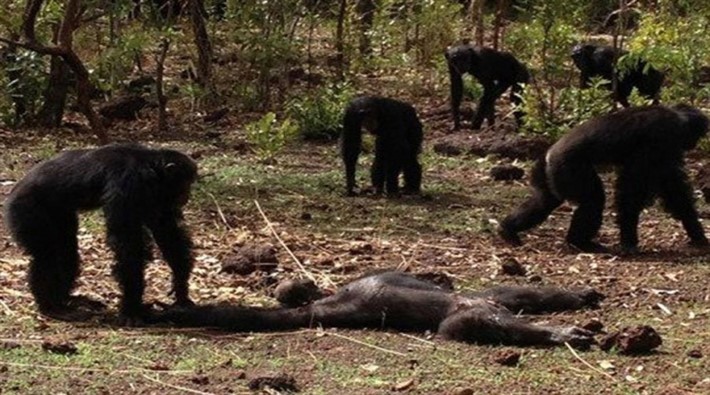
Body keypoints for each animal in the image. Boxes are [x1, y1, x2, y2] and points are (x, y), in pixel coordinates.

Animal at [4, 144, 199, 324]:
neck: (152, 169)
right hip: (27, 210)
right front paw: (132, 308)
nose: (188, 194)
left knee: (66, 252)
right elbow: (127, 244)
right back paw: (51, 307)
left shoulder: (158, 198)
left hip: (60, 215)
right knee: (46, 256)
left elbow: (166, 231)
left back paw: (68, 300)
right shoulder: (128, 184)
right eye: (185, 183)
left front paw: (181, 290)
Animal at [500, 105, 710, 254]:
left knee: (543, 202)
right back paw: (580, 242)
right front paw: (629, 239)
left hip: (549, 176)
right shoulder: (662, 138)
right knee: (592, 200)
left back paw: (508, 230)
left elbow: (673, 189)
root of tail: (549, 153)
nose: (694, 144)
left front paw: (696, 233)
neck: (678, 116)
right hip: (570, 170)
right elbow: (632, 189)